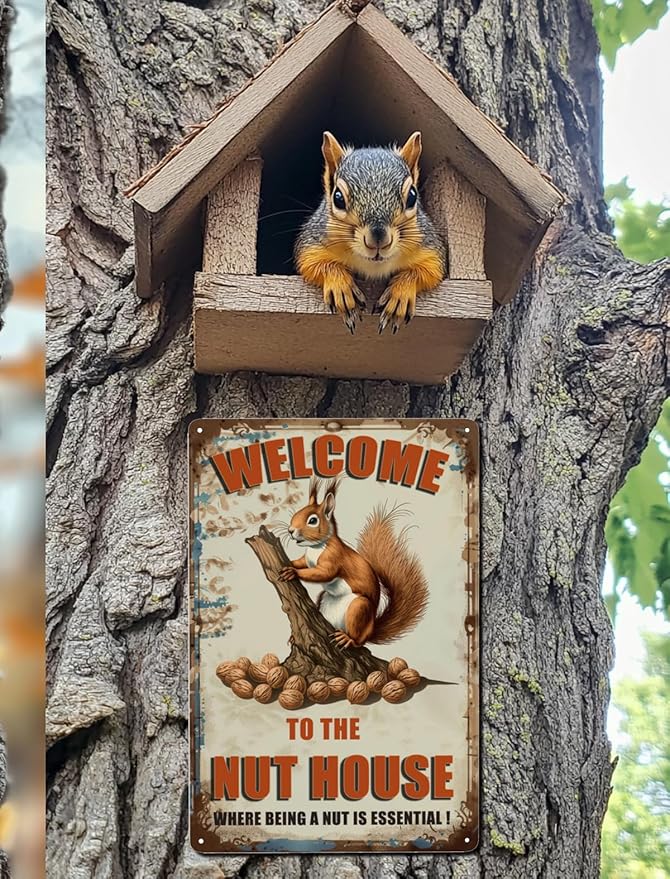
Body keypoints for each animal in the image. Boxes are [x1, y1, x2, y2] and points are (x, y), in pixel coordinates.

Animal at [278, 478, 429, 648]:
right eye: (297, 512)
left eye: (313, 520)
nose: (291, 530)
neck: (316, 548)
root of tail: (371, 631)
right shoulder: (307, 559)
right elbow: (301, 562)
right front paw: (291, 563)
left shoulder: (334, 558)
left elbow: (323, 573)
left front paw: (293, 572)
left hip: (359, 609)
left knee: (358, 640)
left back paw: (348, 639)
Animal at [294, 131, 447, 335]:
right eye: (338, 198)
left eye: (412, 196)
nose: (378, 240)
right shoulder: (313, 240)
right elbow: (311, 262)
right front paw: (341, 287)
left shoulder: (429, 245)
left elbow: (431, 270)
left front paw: (400, 295)